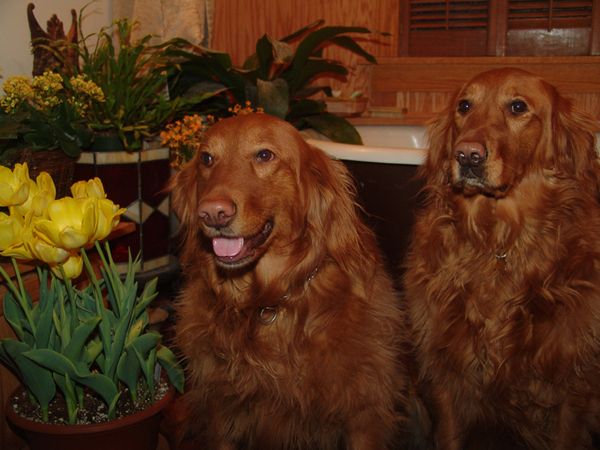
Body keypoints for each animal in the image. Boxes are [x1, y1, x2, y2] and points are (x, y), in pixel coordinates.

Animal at [169, 113, 407, 450]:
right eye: (206, 158)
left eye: (264, 155)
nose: (213, 213)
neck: (266, 301)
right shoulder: (221, 413)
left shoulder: (364, 414)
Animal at [403, 68, 600, 449]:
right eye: (464, 106)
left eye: (518, 106)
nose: (467, 155)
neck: (499, 242)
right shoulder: (444, 374)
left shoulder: (574, 385)